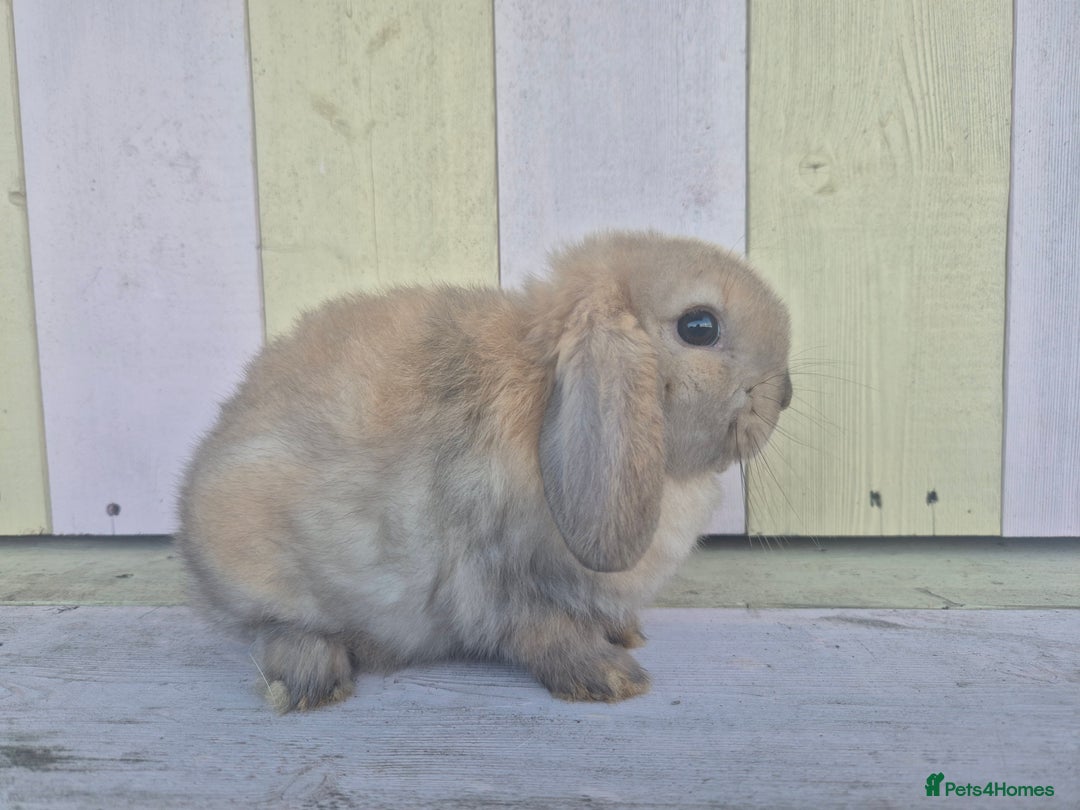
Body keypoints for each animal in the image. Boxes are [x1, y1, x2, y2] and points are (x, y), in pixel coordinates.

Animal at [176, 230, 792, 712]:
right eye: (699, 326)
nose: (783, 393)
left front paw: (625, 636)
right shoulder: (492, 577)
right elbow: (542, 631)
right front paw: (611, 676)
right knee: (271, 630)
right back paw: (314, 676)